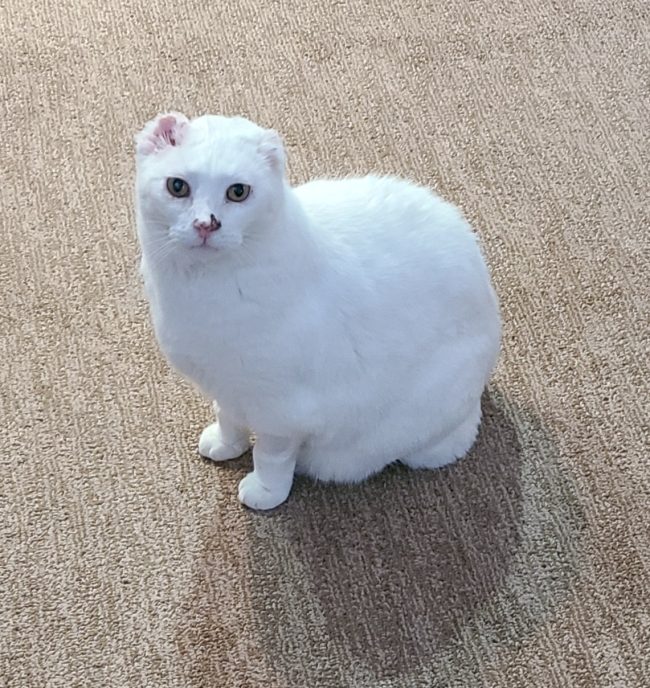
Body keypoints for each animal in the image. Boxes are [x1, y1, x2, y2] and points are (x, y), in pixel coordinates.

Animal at [134, 113, 501, 510]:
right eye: (177, 187)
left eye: (238, 192)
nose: (206, 224)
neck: (198, 288)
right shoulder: (227, 385)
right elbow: (228, 417)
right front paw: (225, 444)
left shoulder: (280, 411)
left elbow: (270, 456)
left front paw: (265, 492)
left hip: (420, 433)